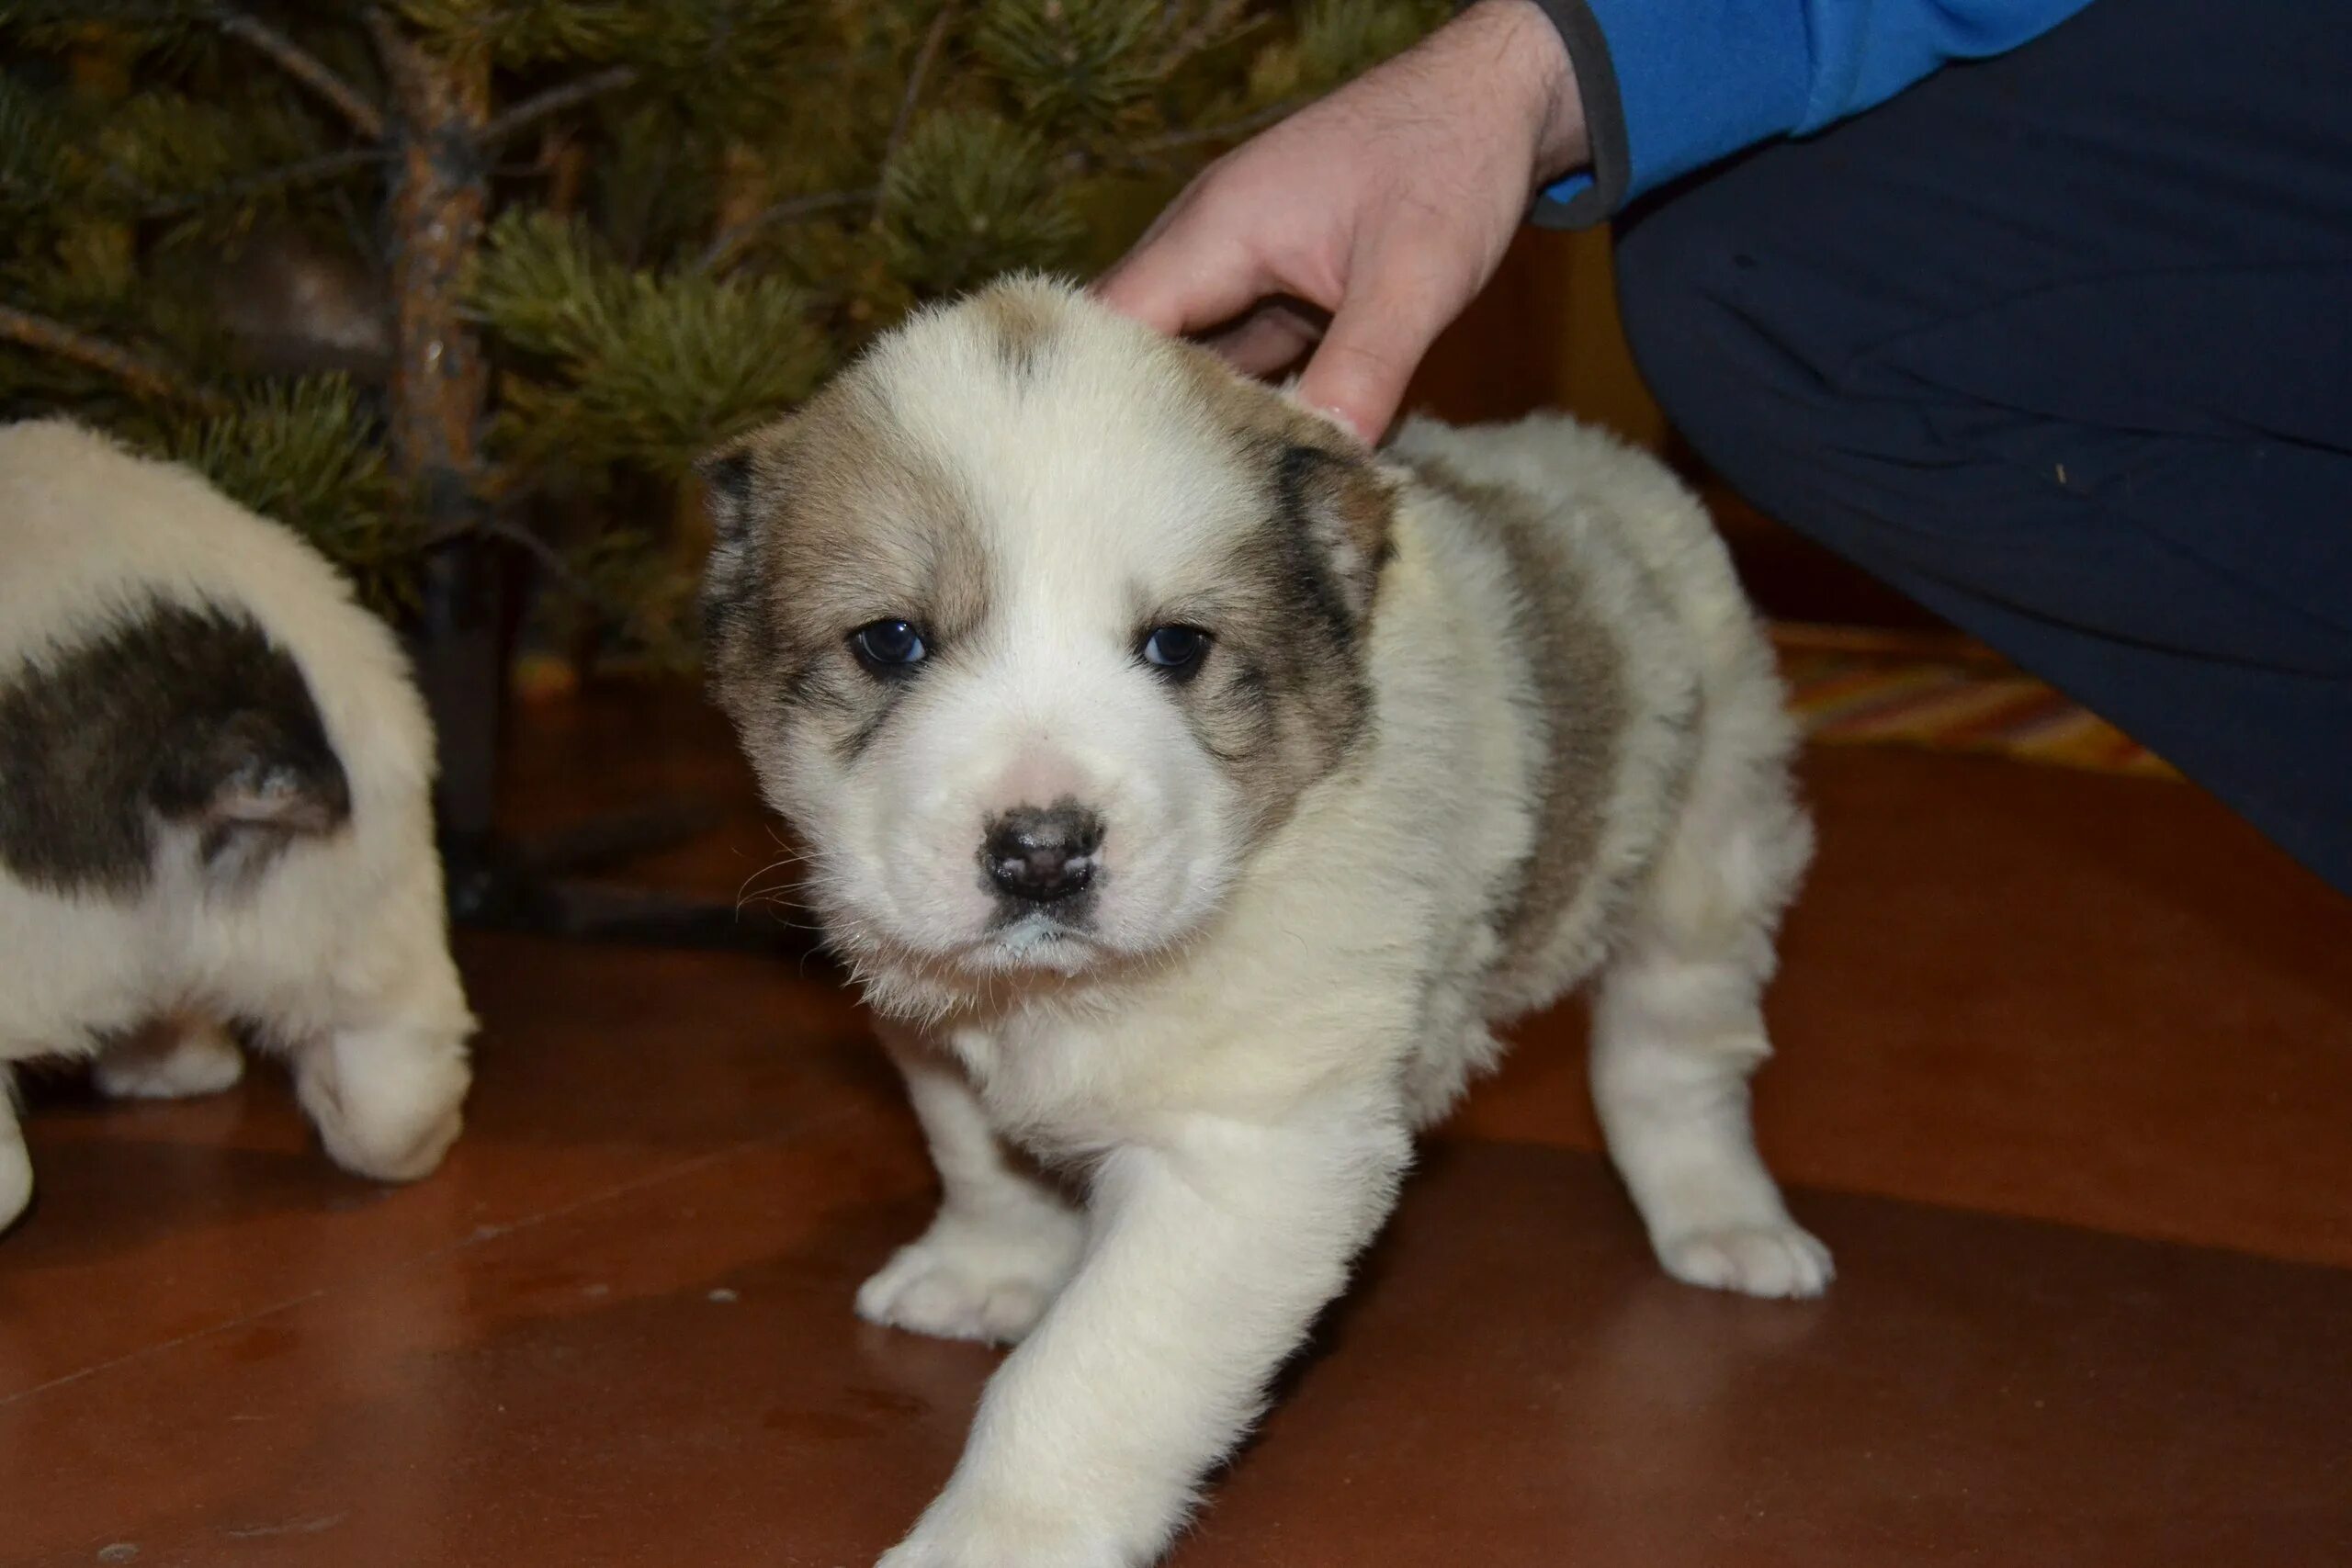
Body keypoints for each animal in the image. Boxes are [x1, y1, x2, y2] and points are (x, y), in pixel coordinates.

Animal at [706, 282, 1825, 1568]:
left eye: (1177, 646)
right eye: (891, 641)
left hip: (1706, 849)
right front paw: (987, 1271)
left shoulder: (1246, 1160)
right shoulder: (939, 1038)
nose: (1042, 851)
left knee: (1671, 1056)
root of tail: (1595, 455)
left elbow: (1083, 1376)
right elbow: (981, 1159)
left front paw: (997, 1538)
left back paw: (1725, 1223)